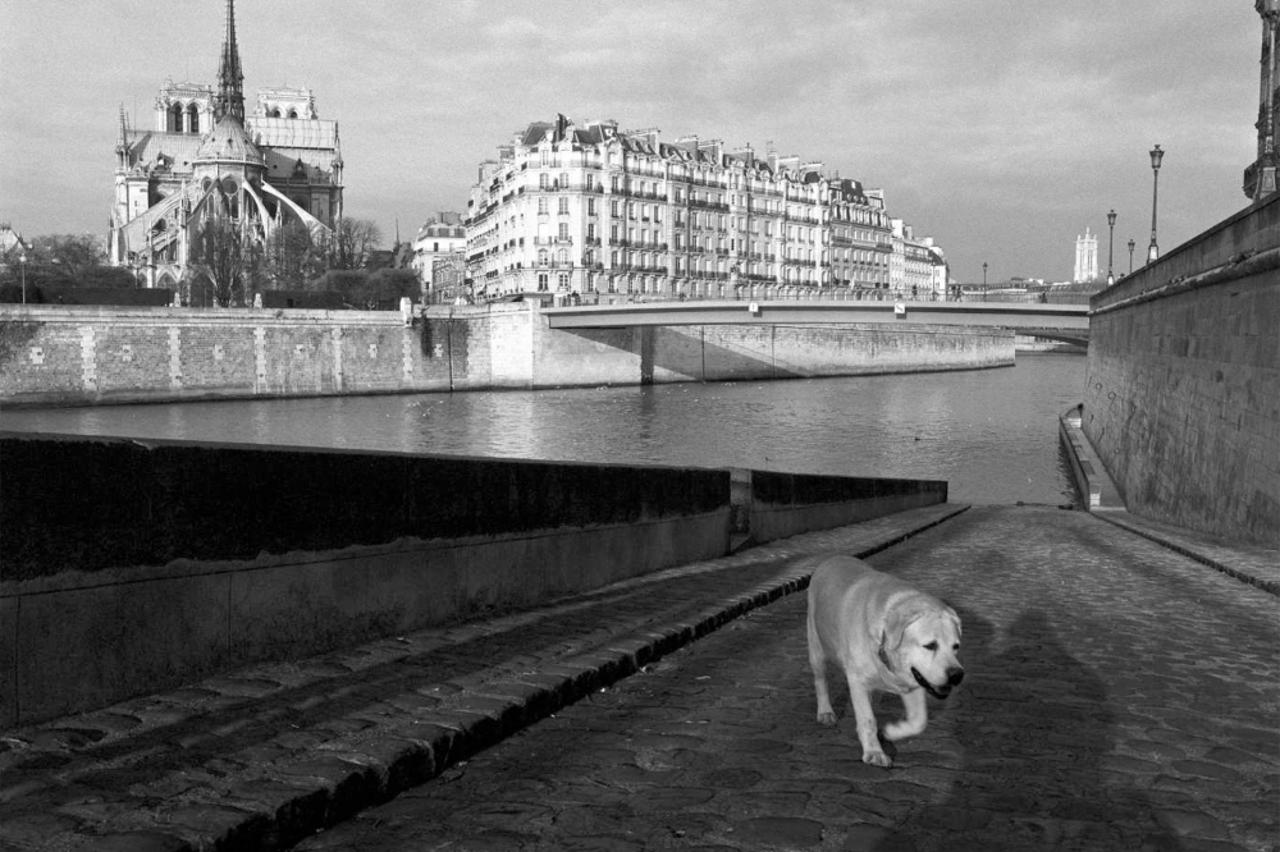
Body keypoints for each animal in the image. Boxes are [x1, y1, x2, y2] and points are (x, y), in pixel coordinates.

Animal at [808, 555, 962, 767]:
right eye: (930, 645)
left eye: (956, 646)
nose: (957, 675)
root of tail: (832, 557)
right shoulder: (858, 679)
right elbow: (867, 719)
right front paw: (874, 752)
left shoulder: (912, 682)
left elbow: (918, 721)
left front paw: (890, 732)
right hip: (817, 648)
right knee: (820, 680)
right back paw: (825, 712)